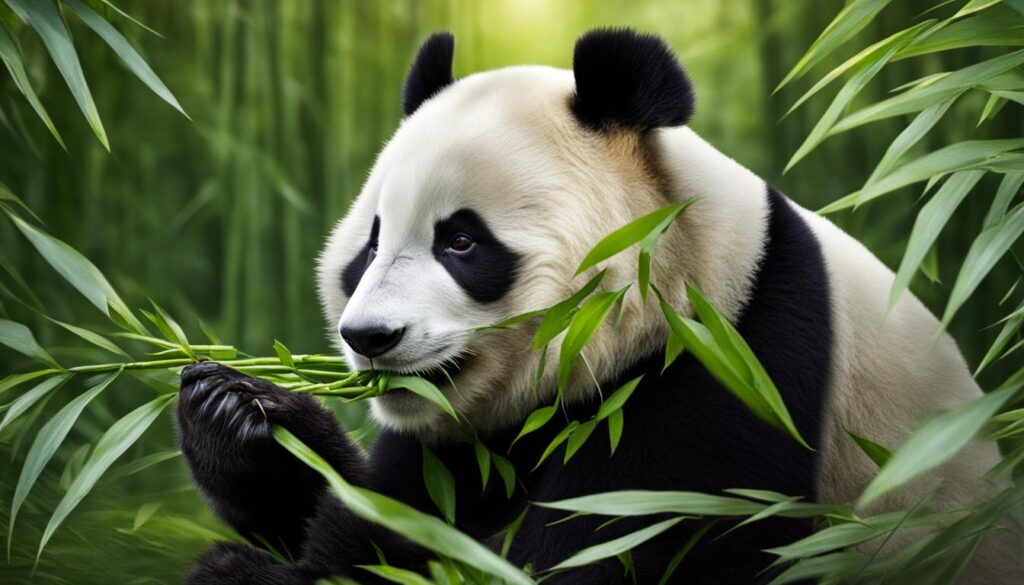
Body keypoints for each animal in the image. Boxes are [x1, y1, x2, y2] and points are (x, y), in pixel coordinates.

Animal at [176, 29, 1020, 584]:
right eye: (370, 245)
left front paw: (237, 569)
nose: (370, 336)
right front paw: (237, 411)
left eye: (461, 240)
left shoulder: (734, 376)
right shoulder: (460, 438)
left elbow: (588, 555)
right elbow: (391, 510)